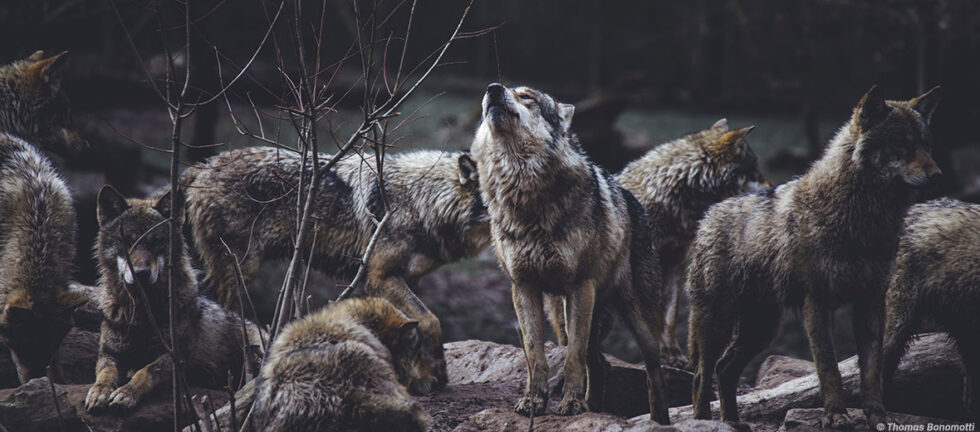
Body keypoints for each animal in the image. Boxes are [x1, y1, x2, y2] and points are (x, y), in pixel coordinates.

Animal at [84, 186, 265, 412]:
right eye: (127, 241)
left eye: (156, 242)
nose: (141, 273)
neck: (143, 314)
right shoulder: (109, 354)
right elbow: (106, 373)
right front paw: (99, 391)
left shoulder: (175, 358)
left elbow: (145, 371)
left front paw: (126, 393)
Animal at [182, 147, 489, 393]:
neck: (422, 200)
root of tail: (205, 164)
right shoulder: (380, 277)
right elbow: (431, 320)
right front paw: (437, 374)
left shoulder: (410, 279)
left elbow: (416, 327)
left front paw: (423, 376)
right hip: (240, 270)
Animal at [471, 83, 669, 422]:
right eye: (499, 90)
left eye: (527, 96)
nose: (493, 89)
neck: (523, 193)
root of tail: (634, 201)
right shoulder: (523, 287)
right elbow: (535, 356)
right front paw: (534, 402)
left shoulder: (580, 286)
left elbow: (572, 358)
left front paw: (572, 405)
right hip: (564, 315)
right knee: (599, 363)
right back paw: (596, 408)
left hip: (637, 319)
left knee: (653, 373)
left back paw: (659, 420)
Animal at [686, 86, 942, 430]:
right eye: (901, 144)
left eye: (926, 145)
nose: (937, 175)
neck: (863, 220)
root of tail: (709, 214)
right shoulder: (817, 303)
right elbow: (829, 368)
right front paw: (836, 415)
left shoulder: (871, 302)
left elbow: (871, 370)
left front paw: (877, 415)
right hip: (718, 323)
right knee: (702, 374)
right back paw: (704, 420)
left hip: (761, 329)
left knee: (724, 369)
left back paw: (733, 422)